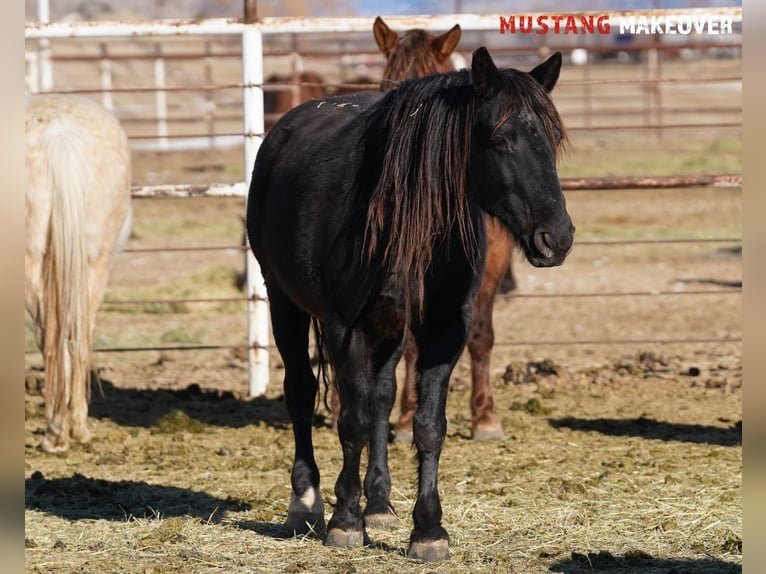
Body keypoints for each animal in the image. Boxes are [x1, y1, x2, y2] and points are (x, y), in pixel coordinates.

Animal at [26, 94, 132, 453]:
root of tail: (59, 132)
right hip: (94, 264)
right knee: (78, 336)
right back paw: (76, 428)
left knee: (50, 336)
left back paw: (55, 433)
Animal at [372, 16, 519, 443]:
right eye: (386, 90)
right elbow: (411, 345)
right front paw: (406, 420)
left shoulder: (495, 263)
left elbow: (481, 334)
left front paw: (486, 418)